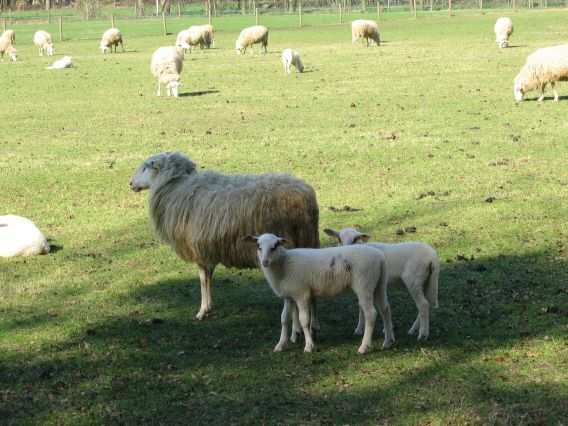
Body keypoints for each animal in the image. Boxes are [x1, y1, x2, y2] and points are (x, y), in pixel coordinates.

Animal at [130, 151, 322, 322]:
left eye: (145, 167)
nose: (130, 183)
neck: (176, 188)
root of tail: (306, 196)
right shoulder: (209, 247)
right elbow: (209, 277)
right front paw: (208, 307)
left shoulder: (198, 248)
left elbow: (202, 279)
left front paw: (202, 311)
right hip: (307, 239)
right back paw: (314, 323)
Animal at [244, 233, 394, 352]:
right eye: (258, 246)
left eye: (275, 246)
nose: (265, 262)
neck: (284, 265)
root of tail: (380, 257)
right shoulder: (288, 296)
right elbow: (284, 319)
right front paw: (280, 345)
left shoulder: (301, 294)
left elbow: (304, 320)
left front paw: (309, 346)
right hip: (379, 284)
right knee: (385, 309)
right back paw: (387, 342)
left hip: (364, 285)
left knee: (371, 314)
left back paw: (364, 347)